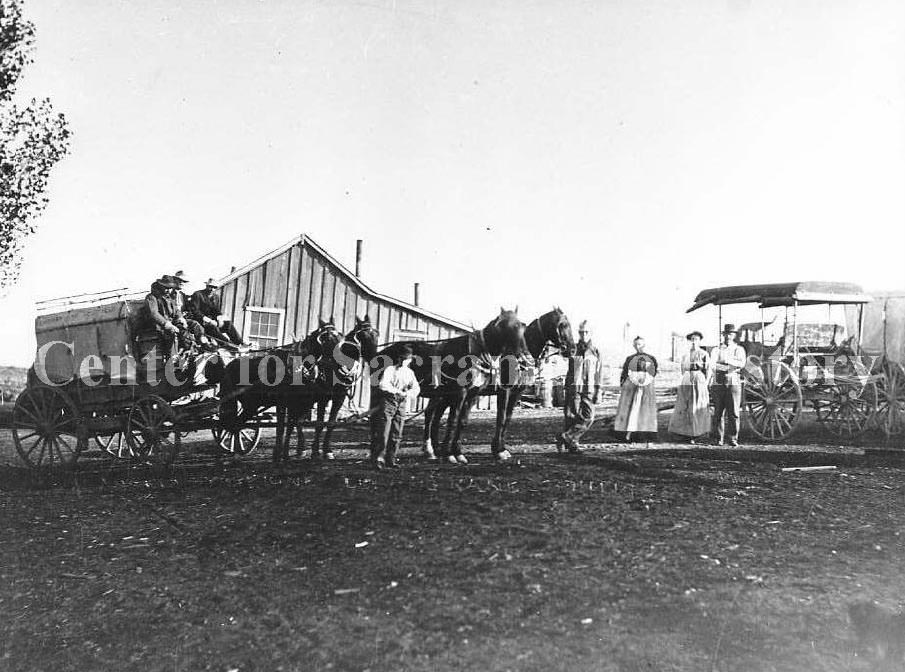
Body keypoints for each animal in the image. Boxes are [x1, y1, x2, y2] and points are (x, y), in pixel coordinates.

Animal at [282, 316, 382, 462]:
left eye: (376, 334)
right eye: (363, 335)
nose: (375, 358)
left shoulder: (339, 398)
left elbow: (331, 423)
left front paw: (327, 451)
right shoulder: (322, 399)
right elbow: (319, 424)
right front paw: (315, 452)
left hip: (306, 401)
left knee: (297, 420)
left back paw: (301, 449)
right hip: (295, 400)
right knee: (292, 421)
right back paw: (292, 450)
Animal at [374, 308, 528, 464]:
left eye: (522, 325)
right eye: (503, 326)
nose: (523, 358)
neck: (475, 354)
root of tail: (380, 352)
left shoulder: (472, 395)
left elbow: (463, 422)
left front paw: (458, 452)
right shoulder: (461, 393)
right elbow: (453, 420)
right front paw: (449, 454)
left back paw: (430, 451)